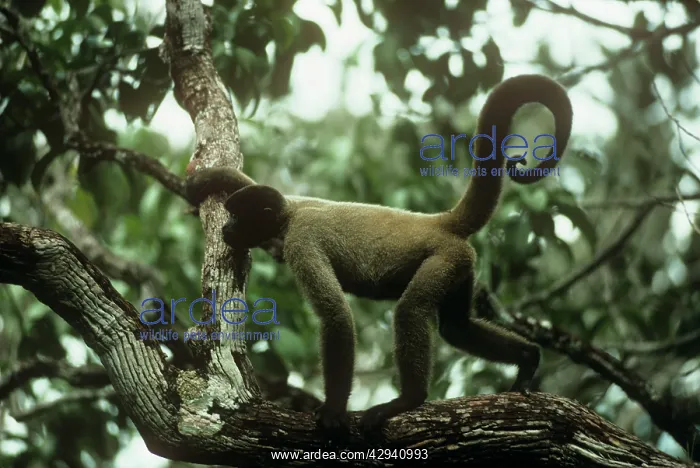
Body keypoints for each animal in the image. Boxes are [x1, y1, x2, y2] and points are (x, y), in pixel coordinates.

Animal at [186, 74, 573, 435]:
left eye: (238, 218)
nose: (226, 228)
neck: (288, 218)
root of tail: (441, 221)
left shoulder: (301, 240)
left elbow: (336, 315)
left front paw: (333, 411)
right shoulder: (294, 204)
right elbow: (249, 182)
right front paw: (207, 181)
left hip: (445, 259)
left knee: (411, 311)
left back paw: (409, 399)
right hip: (463, 264)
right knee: (456, 328)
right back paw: (528, 357)